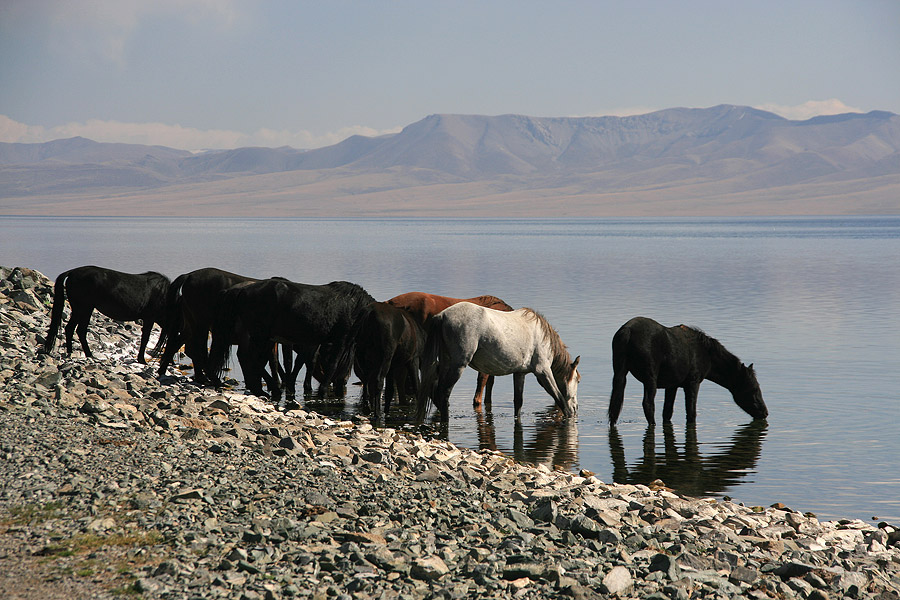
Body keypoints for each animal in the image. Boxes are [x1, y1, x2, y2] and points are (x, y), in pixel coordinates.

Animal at [207, 278, 375, 399]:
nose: (343, 384)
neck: (355, 308)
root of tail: (241, 290)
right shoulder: (341, 340)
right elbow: (331, 365)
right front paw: (322, 391)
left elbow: (305, 361)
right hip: (260, 336)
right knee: (249, 358)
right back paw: (266, 389)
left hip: (263, 337)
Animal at [418, 302, 580, 422]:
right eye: (578, 380)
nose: (576, 407)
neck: (543, 336)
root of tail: (441, 316)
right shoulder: (543, 371)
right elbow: (559, 398)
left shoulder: (519, 373)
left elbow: (518, 402)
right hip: (458, 365)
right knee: (444, 393)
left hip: (446, 363)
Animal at [608, 316, 768, 425]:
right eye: (754, 389)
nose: (765, 413)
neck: (706, 354)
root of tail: (627, 331)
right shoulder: (693, 383)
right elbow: (691, 413)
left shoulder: (672, 386)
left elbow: (667, 411)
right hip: (650, 378)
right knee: (648, 405)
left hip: (620, 373)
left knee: (615, 405)